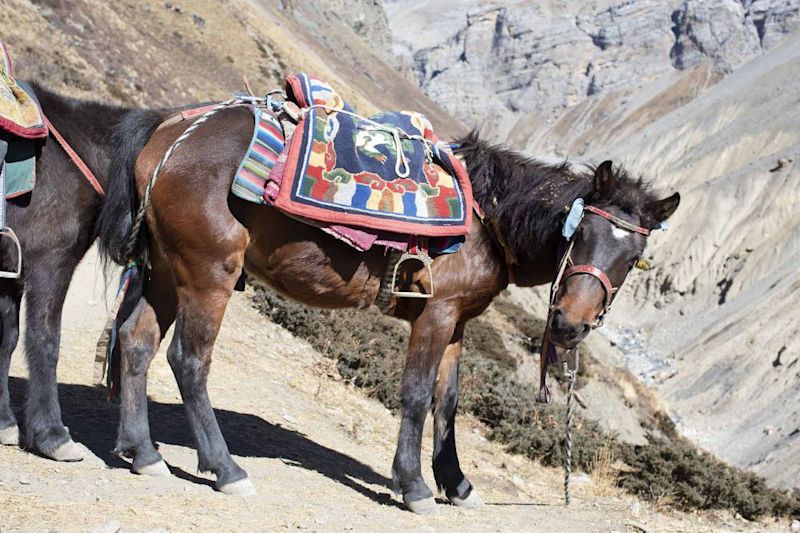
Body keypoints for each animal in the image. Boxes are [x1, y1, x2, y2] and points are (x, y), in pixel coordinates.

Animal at [0, 85, 159, 460]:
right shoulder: (50, 265)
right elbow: (44, 339)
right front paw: (51, 435)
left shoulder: (12, 272)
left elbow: (7, 339)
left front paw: (5, 422)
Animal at [97, 105, 680, 512]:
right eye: (580, 234)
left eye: (634, 258)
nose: (569, 324)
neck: (486, 217)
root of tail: (171, 132)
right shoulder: (435, 314)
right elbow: (417, 396)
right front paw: (415, 487)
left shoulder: (457, 323)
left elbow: (448, 402)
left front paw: (458, 485)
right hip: (206, 274)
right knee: (189, 360)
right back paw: (225, 469)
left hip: (165, 270)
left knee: (135, 341)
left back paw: (143, 453)